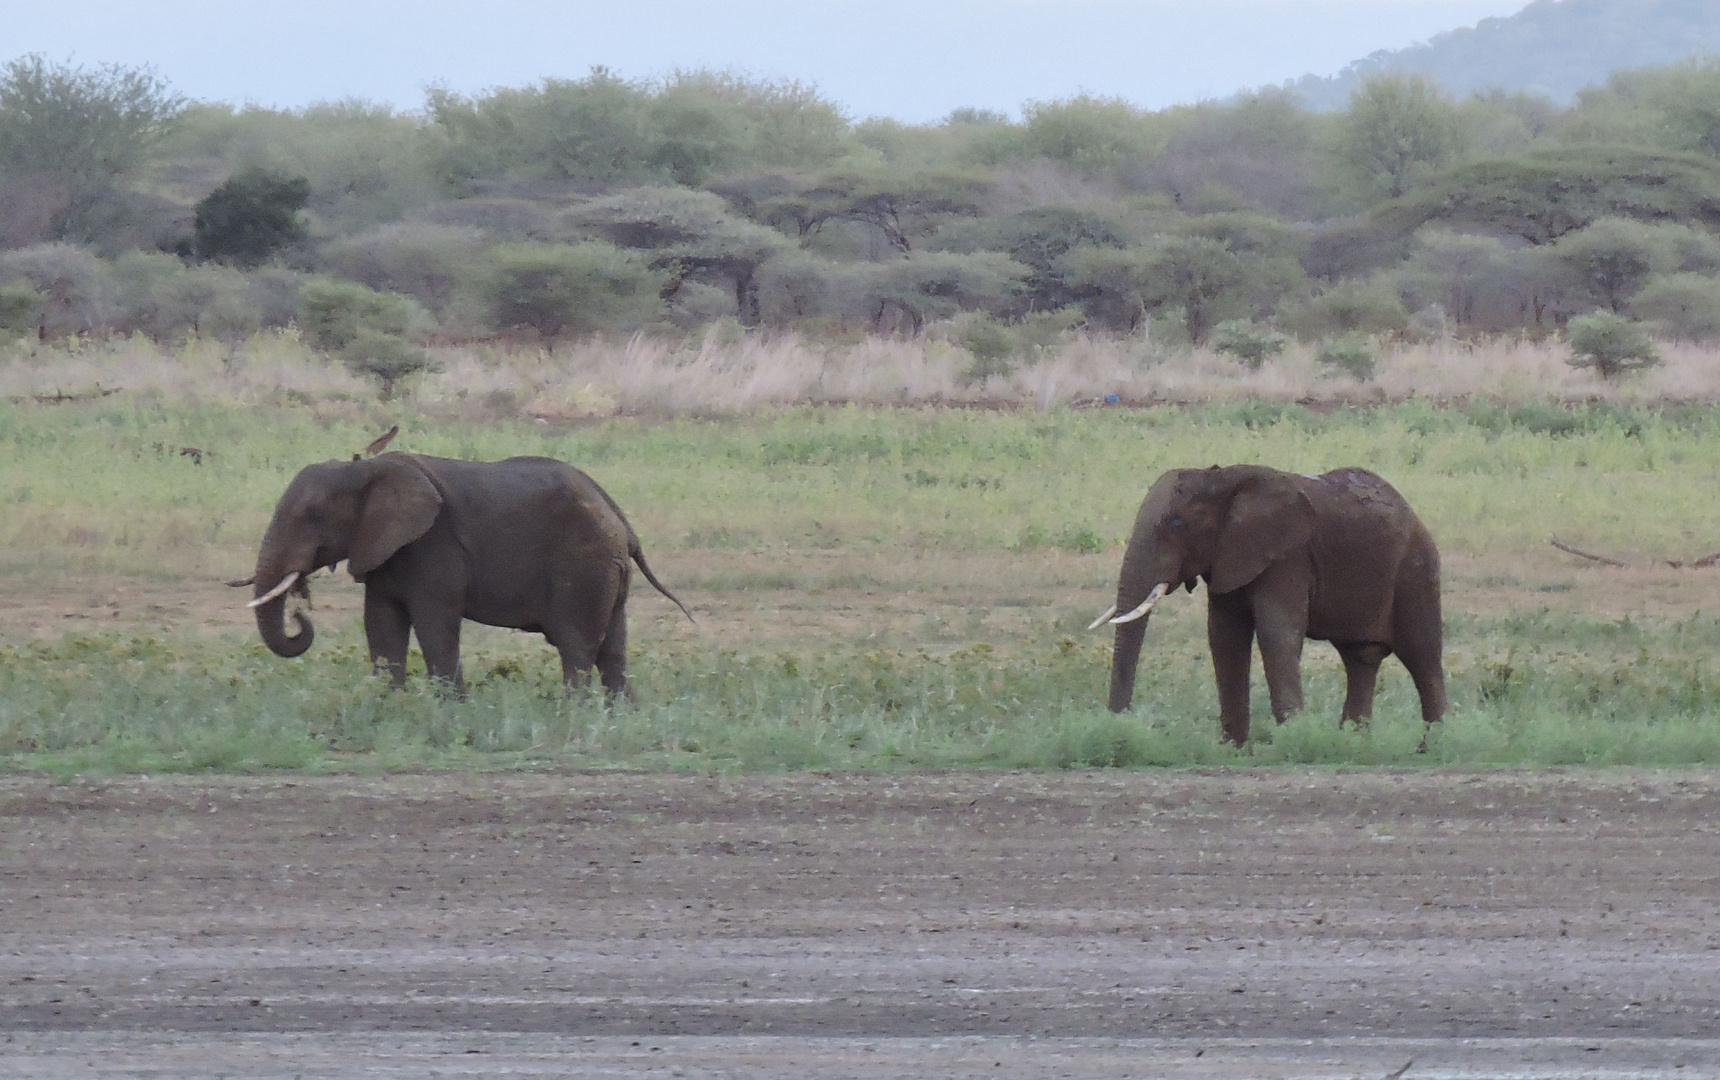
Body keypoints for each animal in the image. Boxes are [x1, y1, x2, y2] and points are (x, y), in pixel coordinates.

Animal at [240, 450, 691, 694]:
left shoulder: (433, 547)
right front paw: (388, 705)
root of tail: (621, 520)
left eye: (311, 515)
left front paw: (450, 711)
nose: (301, 612)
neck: (366, 468)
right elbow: (381, 624)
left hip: (584, 566)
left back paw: (574, 715)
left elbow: (434, 625)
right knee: (612, 652)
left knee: (577, 647)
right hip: (607, 570)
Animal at [1093, 464, 1444, 742]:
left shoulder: (1287, 557)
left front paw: (1295, 741)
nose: (1120, 727)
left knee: (1423, 658)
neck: (1222, 479)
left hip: (1416, 572)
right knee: (1361, 660)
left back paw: (1432, 747)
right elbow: (1224, 637)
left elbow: (1277, 633)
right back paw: (1355, 744)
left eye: (1177, 523)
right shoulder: (1228, 558)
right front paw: (1234, 751)